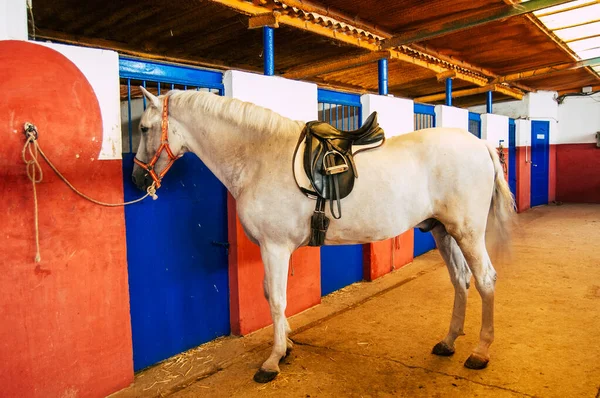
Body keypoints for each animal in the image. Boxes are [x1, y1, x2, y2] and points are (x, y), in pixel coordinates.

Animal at [132, 86, 516, 382]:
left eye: (144, 128)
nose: (138, 179)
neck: (259, 157)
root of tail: (479, 143)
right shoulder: (272, 249)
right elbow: (270, 295)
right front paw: (286, 345)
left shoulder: (275, 247)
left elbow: (277, 299)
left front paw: (272, 360)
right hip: (443, 231)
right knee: (460, 280)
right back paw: (448, 342)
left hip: (467, 232)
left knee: (485, 279)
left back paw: (480, 352)